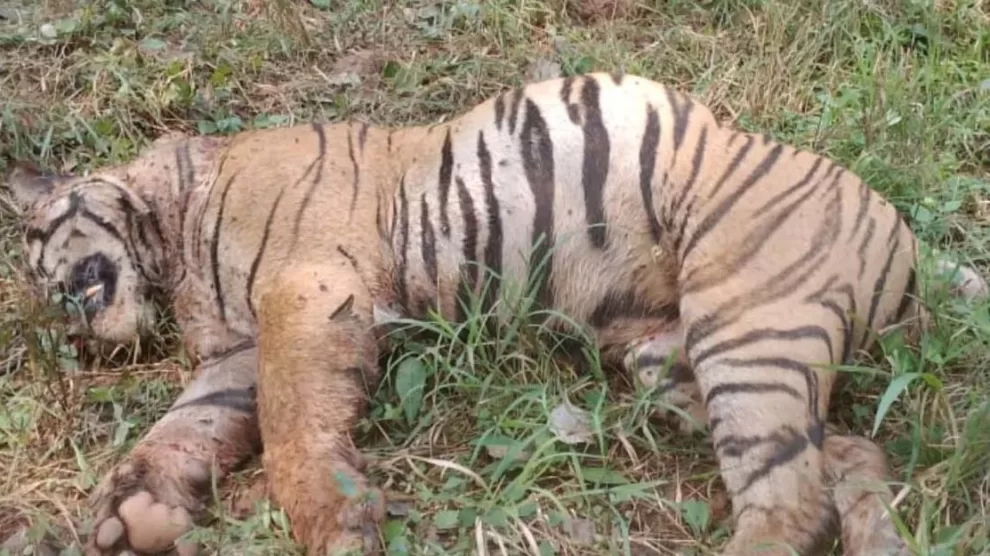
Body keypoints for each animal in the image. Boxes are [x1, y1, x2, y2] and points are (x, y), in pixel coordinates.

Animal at [6, 72, 988, 556]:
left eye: (39, 247)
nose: (68, 319)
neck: (168, 238)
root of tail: (901, 228)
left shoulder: (308, 293)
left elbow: (290, 424)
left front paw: (338, 524)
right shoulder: (233, 357)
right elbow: (183, 428)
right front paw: (132, 516)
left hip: (750, 328)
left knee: (791, 501)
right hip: (668, 356)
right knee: (847, 456)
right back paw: (885, 543)